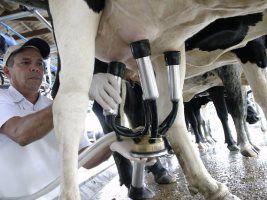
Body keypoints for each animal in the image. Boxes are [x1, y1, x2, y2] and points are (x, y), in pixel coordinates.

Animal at [47, 0, 267, 199]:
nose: (255, 119)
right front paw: (244, 147)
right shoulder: (246, 53)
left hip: (164, 44)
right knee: (69, 101)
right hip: (77, 18)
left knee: (159, 111)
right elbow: (241, 105)